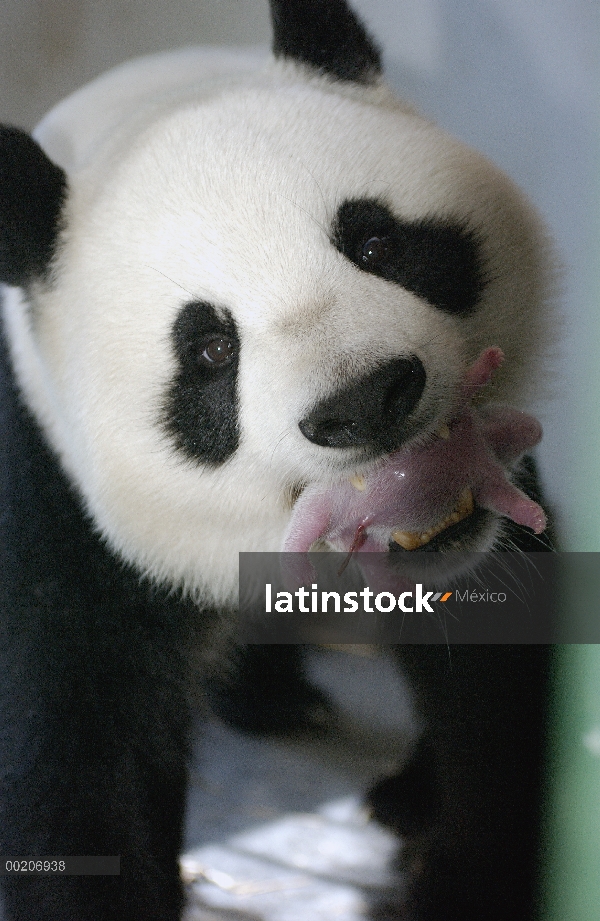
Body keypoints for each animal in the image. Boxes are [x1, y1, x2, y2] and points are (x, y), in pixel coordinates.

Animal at [0, 1, 552, 920]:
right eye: (212, 349)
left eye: (376, 242)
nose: (365, 400)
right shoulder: (50, 490)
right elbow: (81, 759)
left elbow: (492, 676)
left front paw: (456, 871)